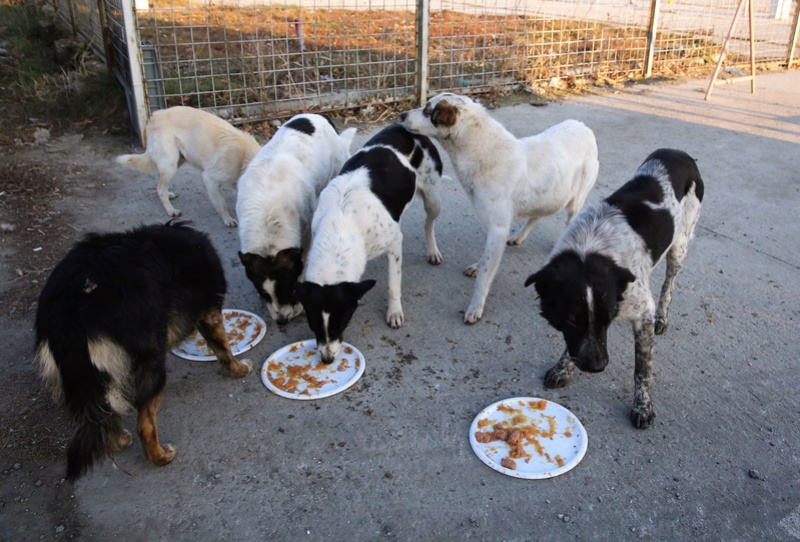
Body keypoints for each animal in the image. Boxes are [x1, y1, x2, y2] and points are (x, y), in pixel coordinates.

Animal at [34, 219, 252, 482]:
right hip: (151, 362)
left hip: (83, 378)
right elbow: (223, 348)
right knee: (145, 424)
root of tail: (69, 311)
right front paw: (238, 369)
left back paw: (118, 440)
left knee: (102, 416)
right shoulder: (208, 310)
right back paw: (160, 457)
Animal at [117, 106, 260, 227]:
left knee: (160, 183)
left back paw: (168, 194)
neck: (245, 158)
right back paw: (171, 210)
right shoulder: (209, 180)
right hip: (170, 165)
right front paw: (228, 219)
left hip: (177, 161)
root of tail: (155, 115)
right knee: (160, 190)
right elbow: (221, 204)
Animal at [236, 115, 358, 326]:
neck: (268, 220)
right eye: (266, 295)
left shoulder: (306, 234)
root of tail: (319, 116)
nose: (281, 321)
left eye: (287, 291)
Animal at [294, 123, 444, 366]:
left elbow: (393, 284)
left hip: (433, 199)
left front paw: (394, 312)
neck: (342, 221)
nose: (326, 360)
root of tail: (403, 126)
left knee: (428, 224)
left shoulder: (394, 244)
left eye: (340, 326)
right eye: (313, 326)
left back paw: (433, 251)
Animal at [528, 149, 704, 430]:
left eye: (607, 319)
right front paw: (563, 368)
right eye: (570, 319)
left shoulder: (641, 313)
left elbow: (642, 368)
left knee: (669, 283)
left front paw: (643, 406)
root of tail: (680, 153)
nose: (598, 367)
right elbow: (575, 343)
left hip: (680, 246)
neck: (590, 248)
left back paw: (662, 317)